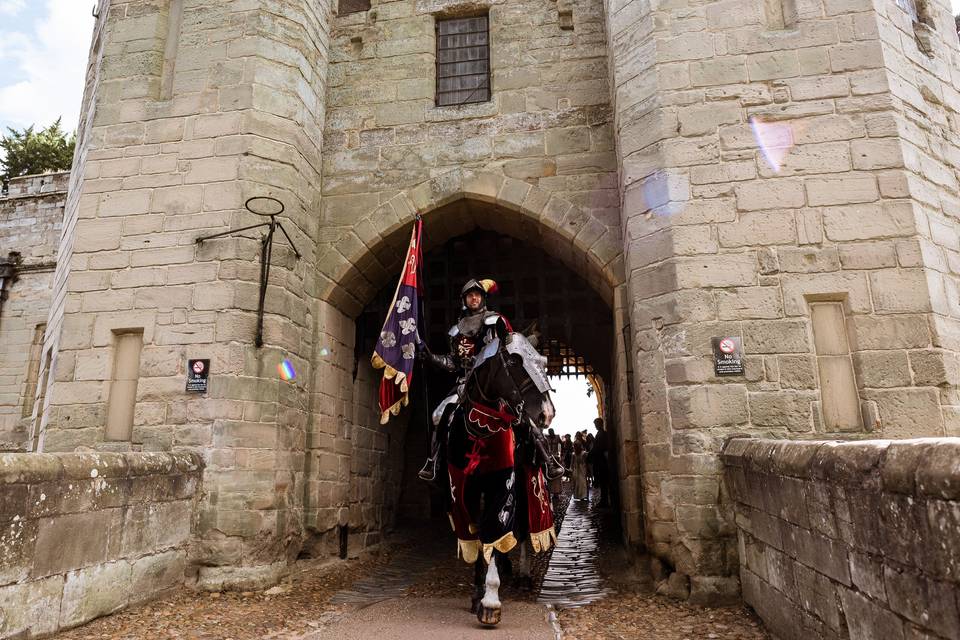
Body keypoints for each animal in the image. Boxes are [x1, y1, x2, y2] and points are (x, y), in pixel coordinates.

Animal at [442, 332, 556, 628]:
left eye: (543, 360)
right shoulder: (463, 493)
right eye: (515, 361)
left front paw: (490, 601)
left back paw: (523, 575)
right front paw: (476, 593)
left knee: (523, 527)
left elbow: (494, 531)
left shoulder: (502, 485)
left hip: (527, 483)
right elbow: (476, 537)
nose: (546, 413)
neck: (480, 431)